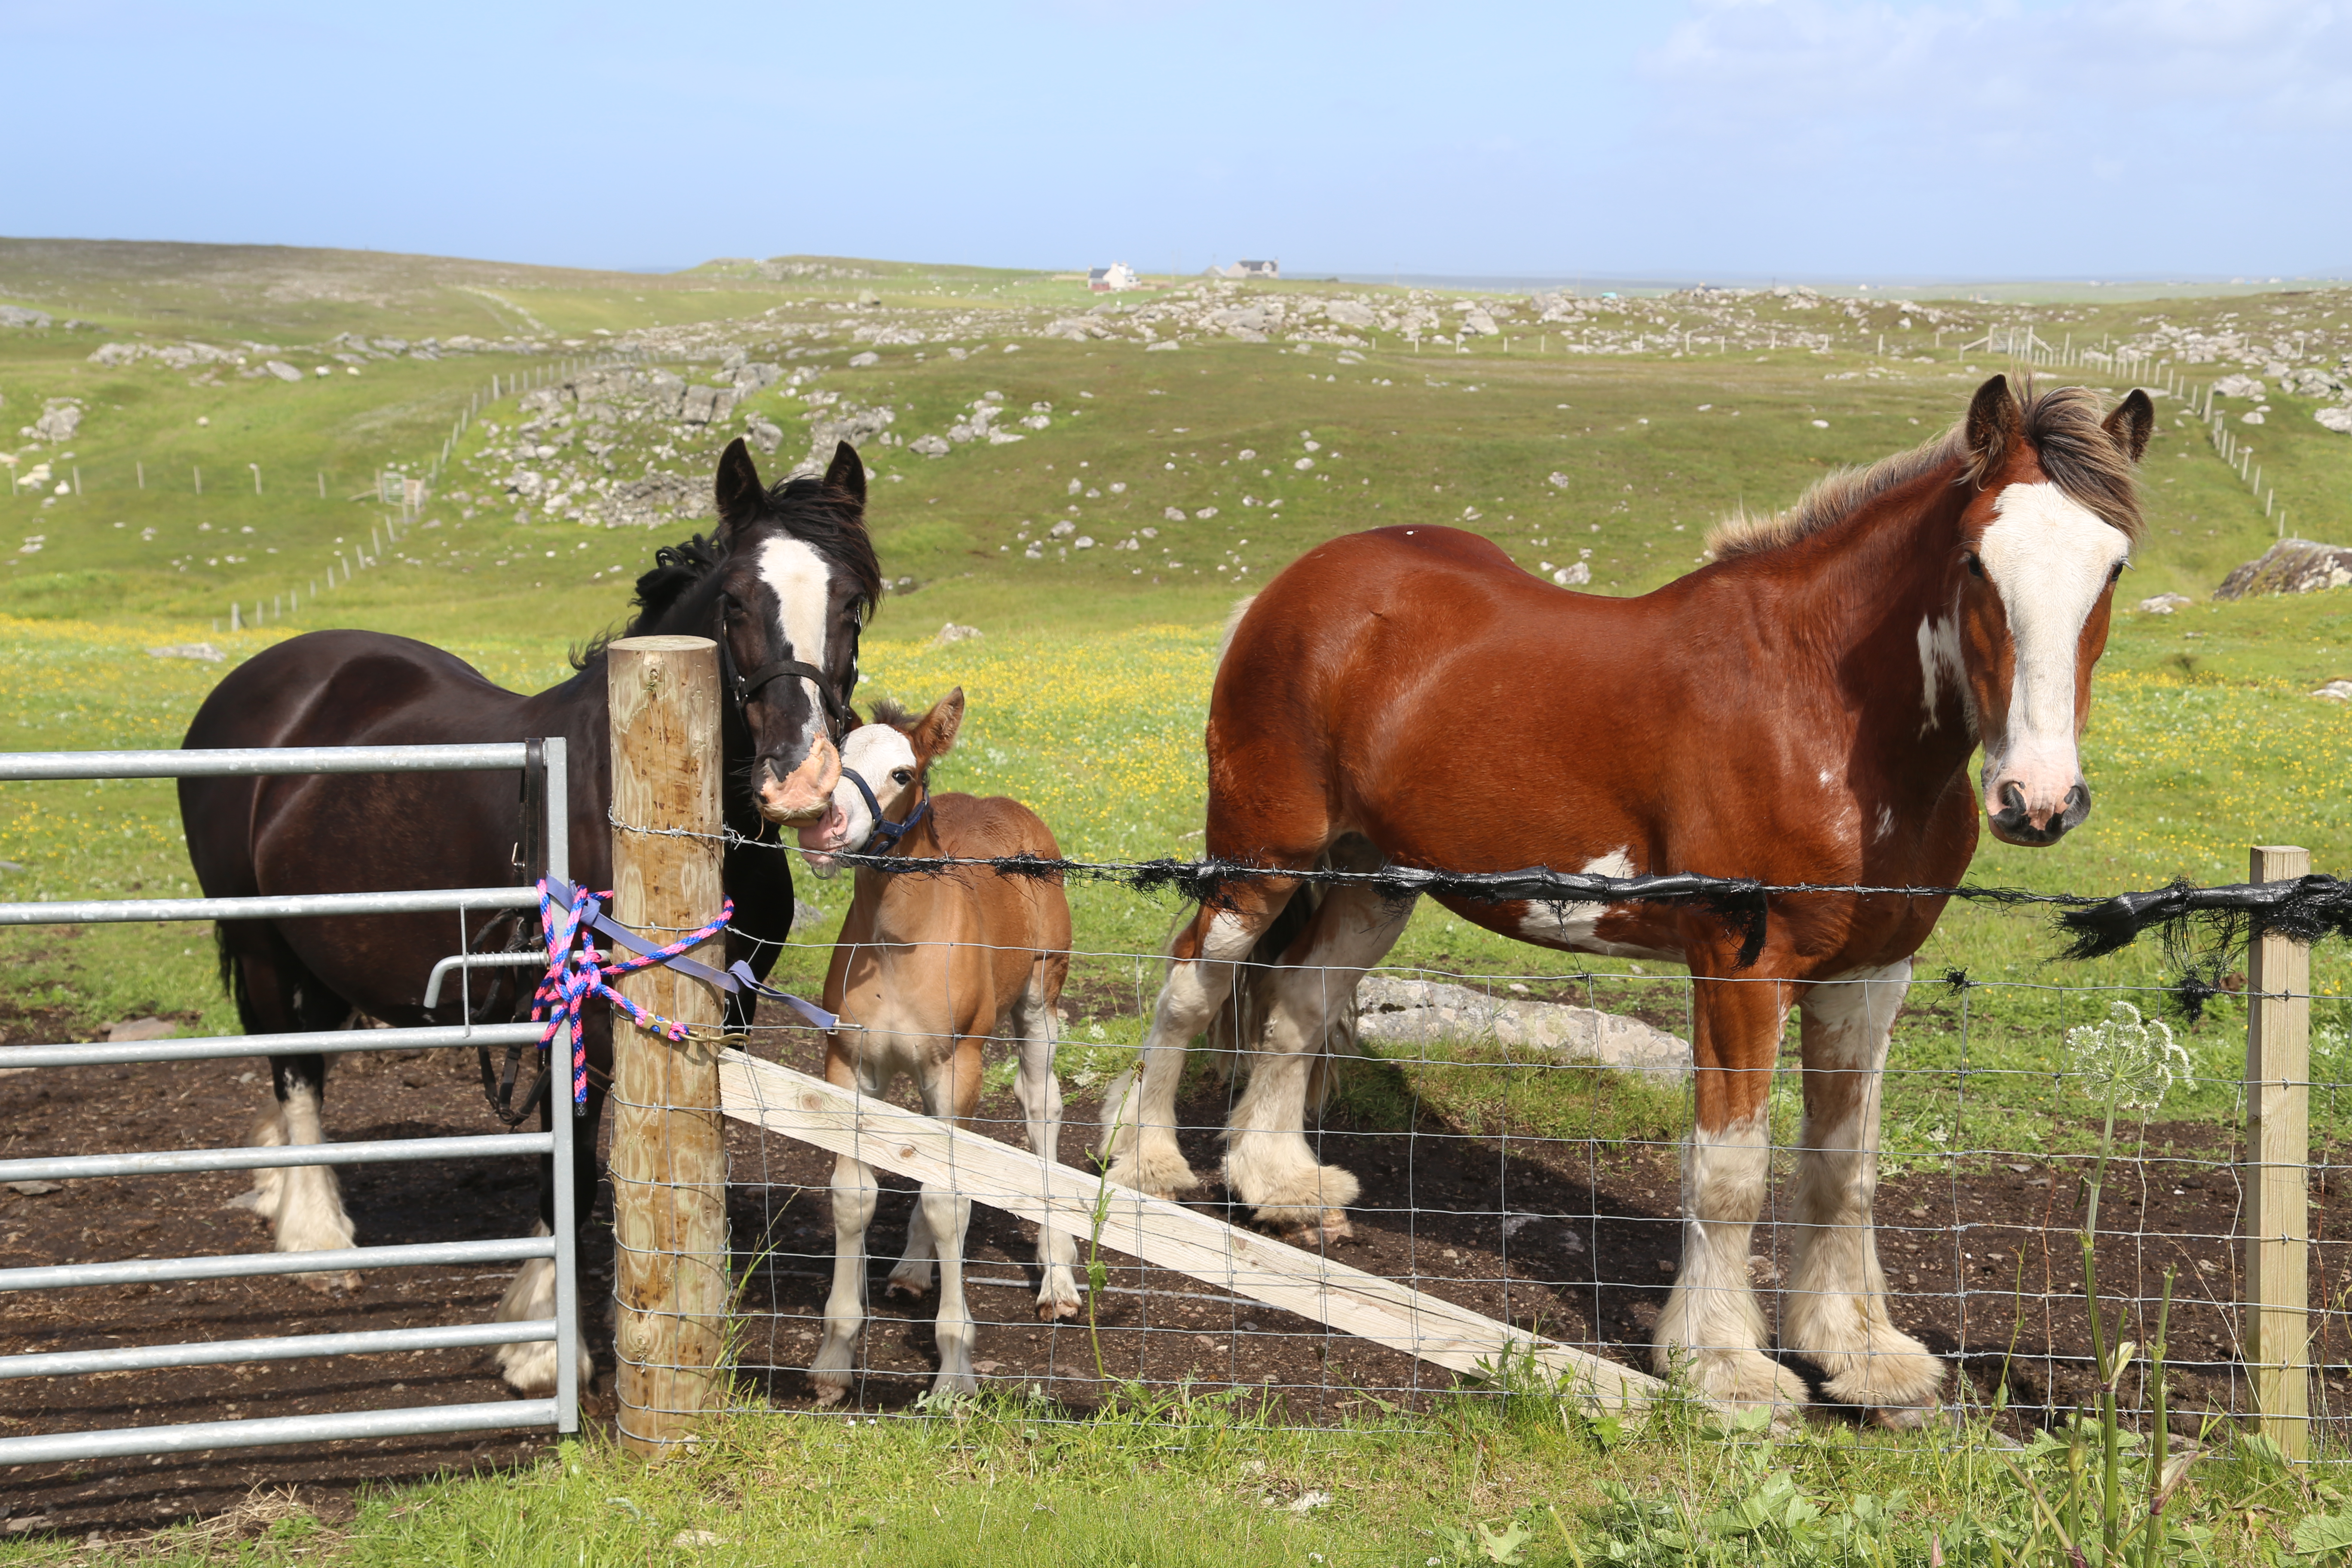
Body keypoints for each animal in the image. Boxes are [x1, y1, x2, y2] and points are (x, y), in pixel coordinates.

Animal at [178, 435, 884, 1391]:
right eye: (736, 599)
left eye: (854, 602)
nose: (800, 782)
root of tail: (260, 681)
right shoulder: (578, 1006)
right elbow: (573, 1158)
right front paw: (542, 1345)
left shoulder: (724, 1011)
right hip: (260, 943)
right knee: (291, 1065)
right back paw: (315, 1232)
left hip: (322, 948)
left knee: (312, 1057)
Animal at [795, 691, 1077, 1401]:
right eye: (836, 757)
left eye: (903, 774)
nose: (824, 829)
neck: (902, 945)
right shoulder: (851, 1066)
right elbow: (855, 1196)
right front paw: (835, 1356)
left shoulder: (958, 1067)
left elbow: (950, 1201)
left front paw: (954, 1369)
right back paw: (913, 1269)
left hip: (1038, 1002)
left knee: (1042, 1109)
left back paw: (1058, 1275)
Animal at [1100, 376, 2154, 1420]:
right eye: (1978, 561)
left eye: (2111, 568)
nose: (2037, 799)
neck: (1814, 704)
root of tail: (1292, 588)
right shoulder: (1740, 967)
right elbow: (1730, 1170)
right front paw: (1723, 1366)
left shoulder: (1871, 975)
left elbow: (1845, 1165)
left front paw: (1861, 1354)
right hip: (1261, 863)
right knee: (1191, 984)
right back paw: (1144, 1161)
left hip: (1373, 885)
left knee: (1296, 1007)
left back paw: (1279, 1185)